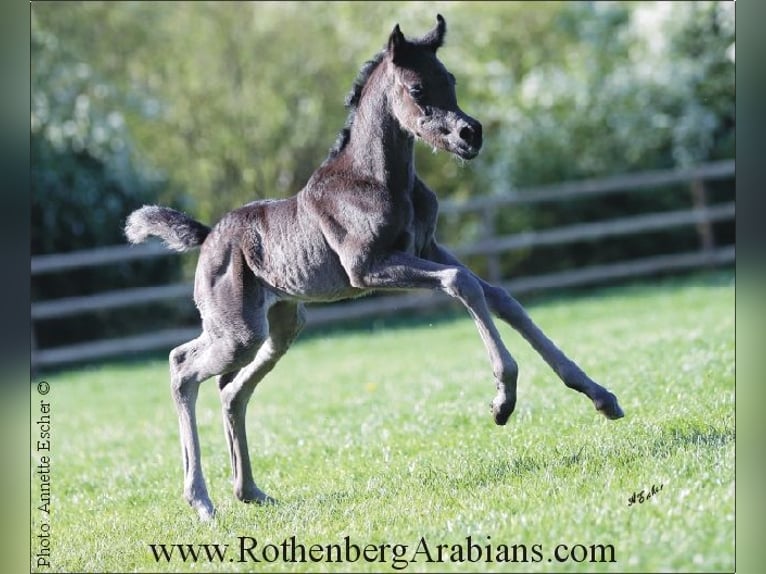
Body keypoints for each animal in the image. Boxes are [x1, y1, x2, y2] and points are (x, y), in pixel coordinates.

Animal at [121, 15, 624, 524]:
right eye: (417, 87)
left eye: (452, 80)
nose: (471, 134)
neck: (378, 179)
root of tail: (208, 237)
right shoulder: (367, 268)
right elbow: (461, 284)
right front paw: (504, 400)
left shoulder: (429, 246)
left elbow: (499, 295)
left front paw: (598, 394)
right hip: (238, 329)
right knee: (183, 368)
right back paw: (202, 501)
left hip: (280, 325)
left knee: (231, 390)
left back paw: (250, 491)